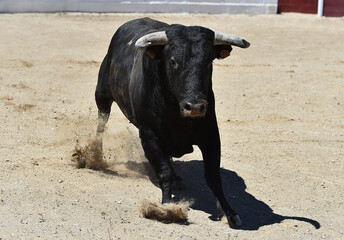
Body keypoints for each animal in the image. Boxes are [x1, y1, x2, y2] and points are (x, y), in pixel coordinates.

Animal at [94, 17, 250, 227]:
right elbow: (164, 172)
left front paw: (228, 212)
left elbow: (213, 177)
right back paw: (93, 154)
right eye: (173, 61)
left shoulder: (210, 134)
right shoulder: (149, 135)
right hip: (102, 94)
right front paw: (167, 208)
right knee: (101, 122)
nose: (194, 107)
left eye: (209, 62)